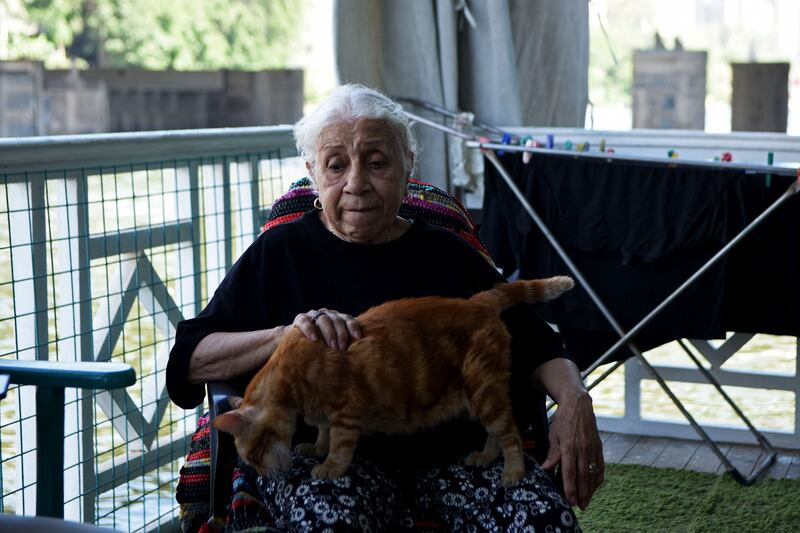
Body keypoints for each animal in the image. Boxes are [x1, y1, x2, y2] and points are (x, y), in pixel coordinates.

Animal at [212, 276, 576, 484]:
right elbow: (323, 433)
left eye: (255, 454)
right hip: (478, 395)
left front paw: (329, 466)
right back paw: (485, 458)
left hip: (484, 391)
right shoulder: (326, 417)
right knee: (495, 434)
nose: (265, 476)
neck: (289, 377)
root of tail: (480, 300)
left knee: (510, 432)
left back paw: (513, 472)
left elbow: (340, 446)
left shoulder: (346, 412)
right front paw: (316, 448)